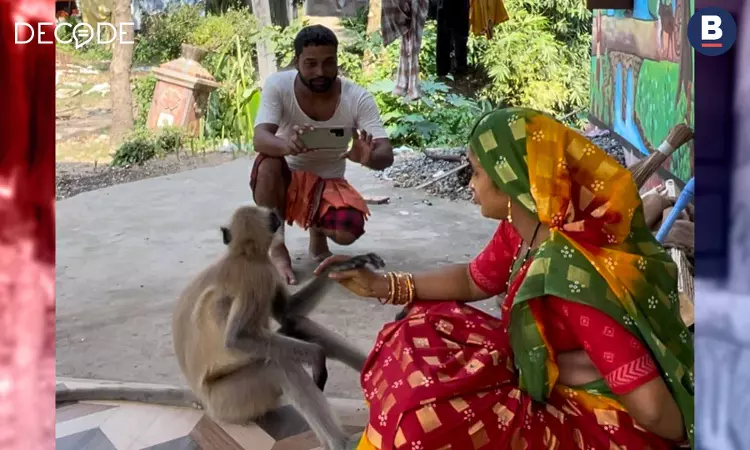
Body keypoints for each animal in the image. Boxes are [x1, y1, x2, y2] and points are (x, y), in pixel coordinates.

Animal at [172, 205, 384, 450]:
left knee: (298, 326)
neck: (242, 254)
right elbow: (237, 339)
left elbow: (287, 313)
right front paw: (316, 355)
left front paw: (339, 265)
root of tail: (205, 403)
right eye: (273, 217)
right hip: (231, 401)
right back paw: (339, 443)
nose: (277, 214)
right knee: (280, 365)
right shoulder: (258, 275)